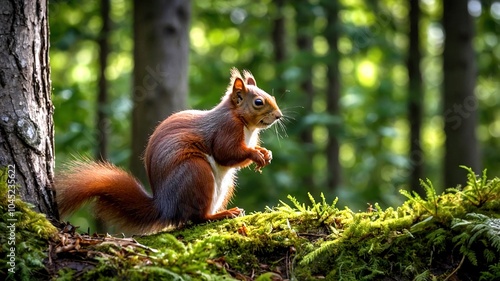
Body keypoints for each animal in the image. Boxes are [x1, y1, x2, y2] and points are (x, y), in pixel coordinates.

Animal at [56, 68, 284, 232]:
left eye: (272, 97)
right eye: (258, 102)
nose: (279, 115)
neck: (244, 124)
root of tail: (166, 206)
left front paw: (265, 153)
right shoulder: (226, 129)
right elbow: (226, 153)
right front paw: (256, 155)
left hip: (223, 183)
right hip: (196, 172)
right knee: (196, 218)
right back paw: (221, 215)